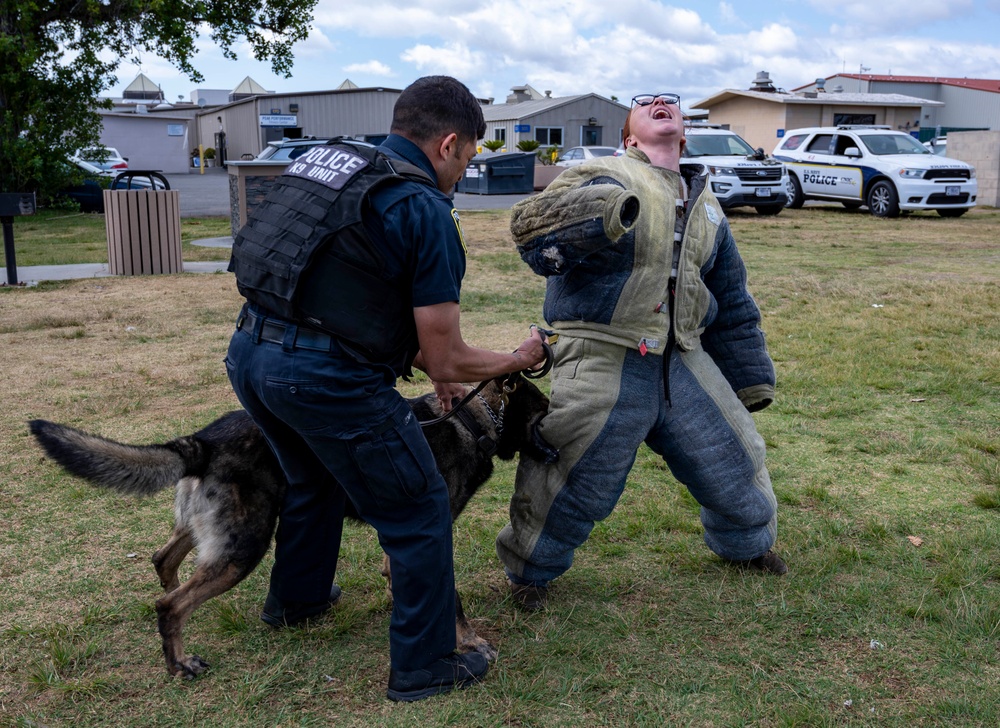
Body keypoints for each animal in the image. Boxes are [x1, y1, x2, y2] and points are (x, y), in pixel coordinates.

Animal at [29, 372, 556, 680]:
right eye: (546, 413)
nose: (563, 445)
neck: (474, 420)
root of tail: (202, 442)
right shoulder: (431, 531)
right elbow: (451, 598)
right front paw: (467, 642)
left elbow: (399, 578)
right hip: (246, 545)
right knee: (170, 603)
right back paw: (179, 662)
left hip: (215, 533)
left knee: (164, 561)